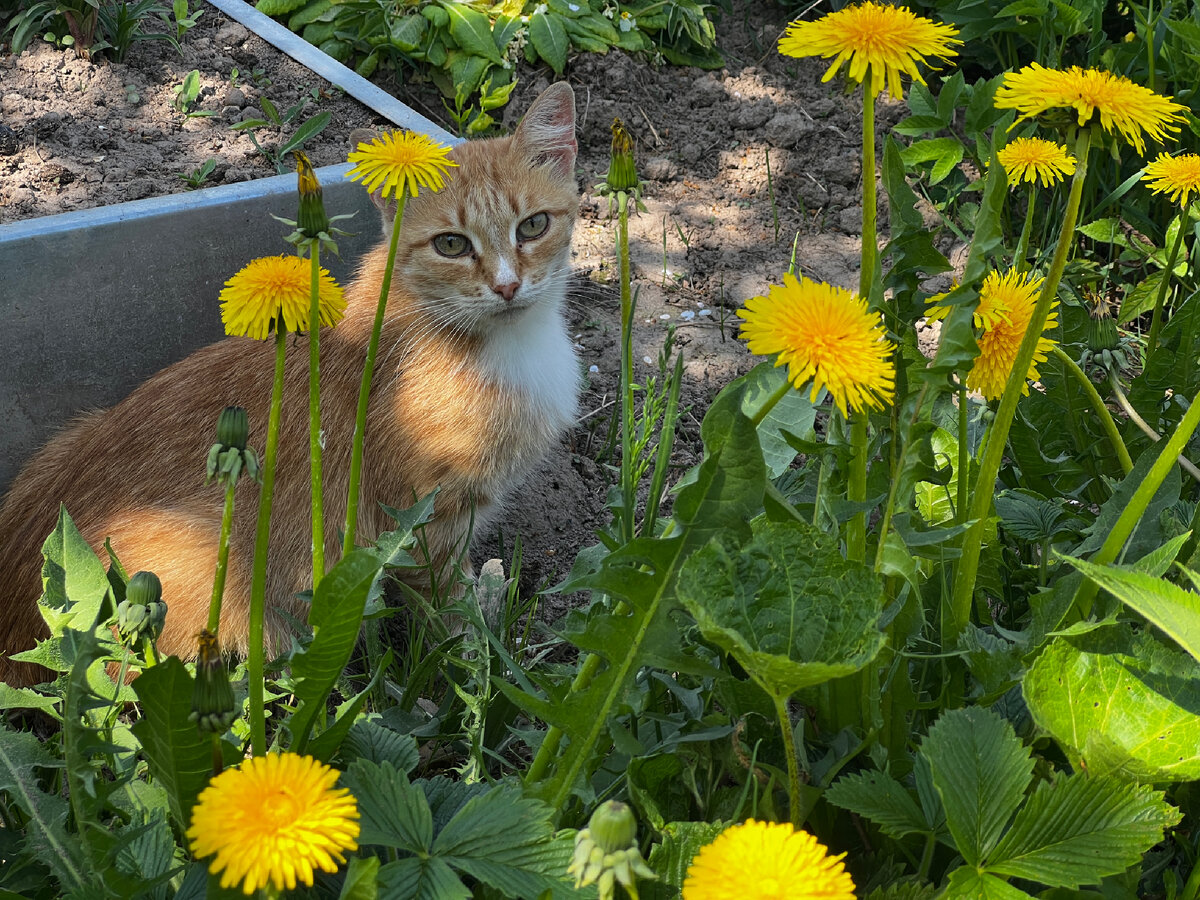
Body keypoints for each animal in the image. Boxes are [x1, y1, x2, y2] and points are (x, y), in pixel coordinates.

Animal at [0, 86, 580, 691]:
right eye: (451, 244)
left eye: (533, 226)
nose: (507, 286)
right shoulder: (428, 518)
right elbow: (450, 613)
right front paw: (482, 670)